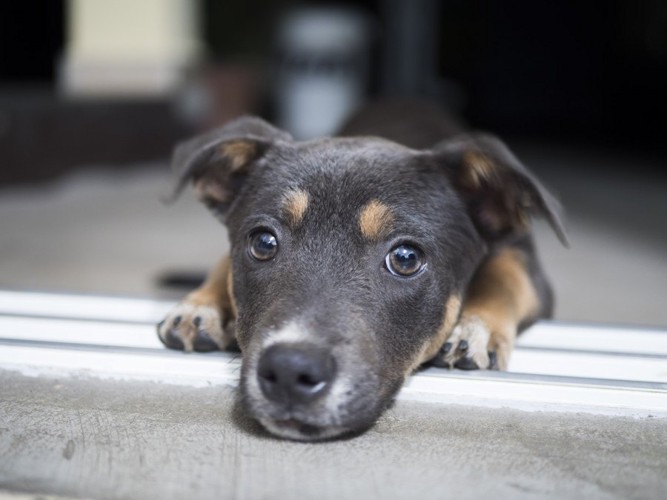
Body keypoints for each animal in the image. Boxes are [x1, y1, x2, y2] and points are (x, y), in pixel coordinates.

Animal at [158, 99, 568, 440]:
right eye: (263, 243)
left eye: (406, 258)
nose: (290, 370)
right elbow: (222, 261)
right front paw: (199, 307)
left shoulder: (525, 261)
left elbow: (505, 276)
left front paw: (475, 328)